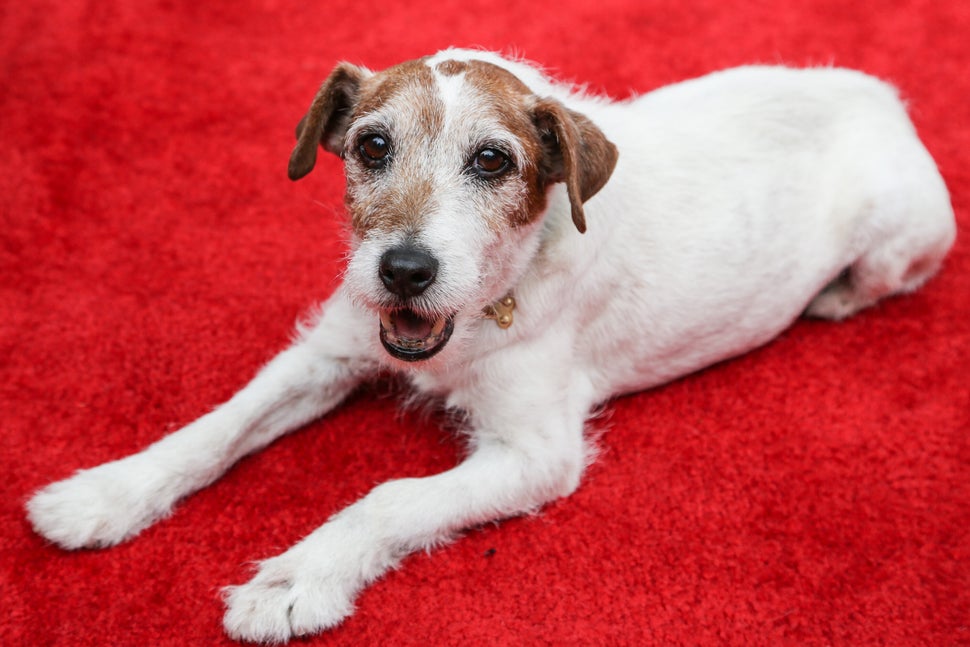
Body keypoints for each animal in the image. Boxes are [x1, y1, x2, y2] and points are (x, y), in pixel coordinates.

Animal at [24, 49, 952, 644]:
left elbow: (390, 497)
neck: (477, 313)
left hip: (902, 242)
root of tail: (883, 97)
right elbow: (217, 425)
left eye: (493, 161)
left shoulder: (536, 453)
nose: (403, 270)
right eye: (371, 145)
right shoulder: (330, 348)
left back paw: (831, 297)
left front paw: (294, 580)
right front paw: (107, 492)